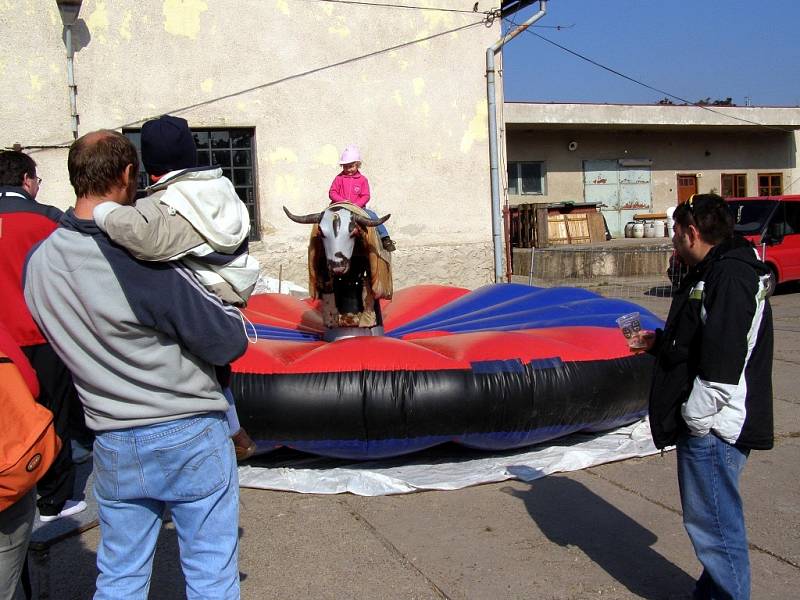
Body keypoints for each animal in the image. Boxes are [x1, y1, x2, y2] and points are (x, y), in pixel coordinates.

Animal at [284, 202, 394, 332]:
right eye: (321, 232)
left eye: (353, 231)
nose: (338, 268)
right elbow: (329, 292)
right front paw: (333, 322)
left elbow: (367, 289)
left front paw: (367, 321)